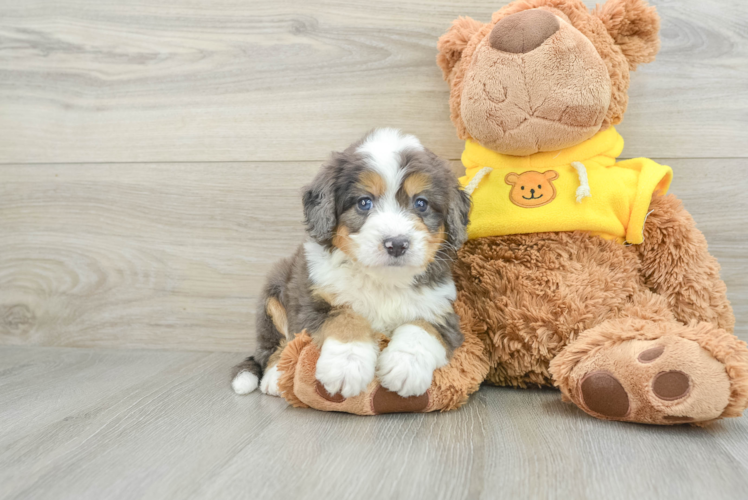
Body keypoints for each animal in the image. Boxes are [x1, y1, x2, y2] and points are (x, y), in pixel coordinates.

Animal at [231, 128, 470, 398]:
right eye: (364, 202)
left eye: (421, 203)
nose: (397, 244)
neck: (383, 281)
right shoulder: (312, 305)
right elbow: (346, 318)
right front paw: (346, 365)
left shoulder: (442, 310)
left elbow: (422, 328)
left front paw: (405, 367)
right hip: (273, 295)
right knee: (271, 348)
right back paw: (274, 376)